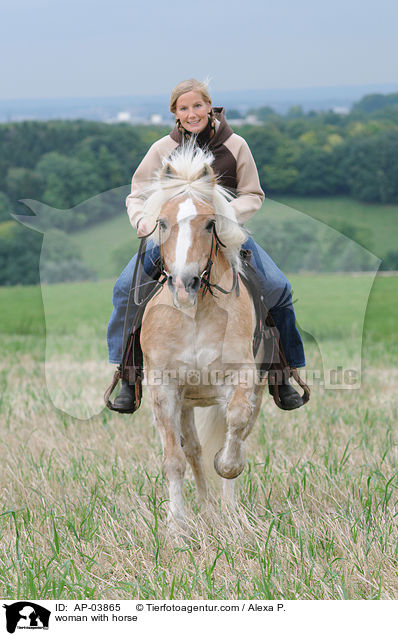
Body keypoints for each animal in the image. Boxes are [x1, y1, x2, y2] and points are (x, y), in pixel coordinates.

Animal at [138, 143, 266, 532]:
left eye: (210, 223)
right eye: (162, 223)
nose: (185, 283)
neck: (194, 315)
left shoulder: (242, 378)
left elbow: (234, 429)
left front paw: (227, 470)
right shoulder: (164, 388)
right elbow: (174, 458)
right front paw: (176, 526)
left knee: (235, 434)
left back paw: (229, 511)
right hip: (186, 402)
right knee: (192, 449)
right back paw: (207, 508)